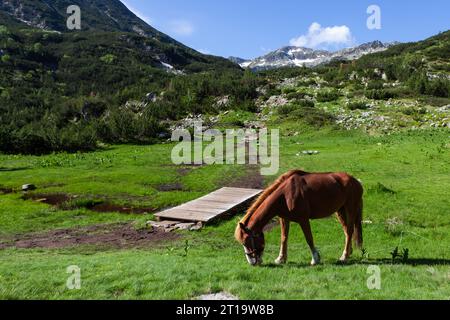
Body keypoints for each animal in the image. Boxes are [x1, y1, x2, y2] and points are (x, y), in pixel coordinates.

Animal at [234, 171, 364, 266]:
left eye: (246, 241)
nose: (252, 262)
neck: (285, 194)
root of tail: (356, 181)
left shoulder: (303, 220)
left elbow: (309, 238)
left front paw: (315, 259)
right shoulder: (284, 219)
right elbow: (284, 238)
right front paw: (281, 259)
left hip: (350, 209)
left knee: (350, 231)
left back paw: (344, 256)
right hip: (340, 211)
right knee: (347, 231)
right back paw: (348, 253)